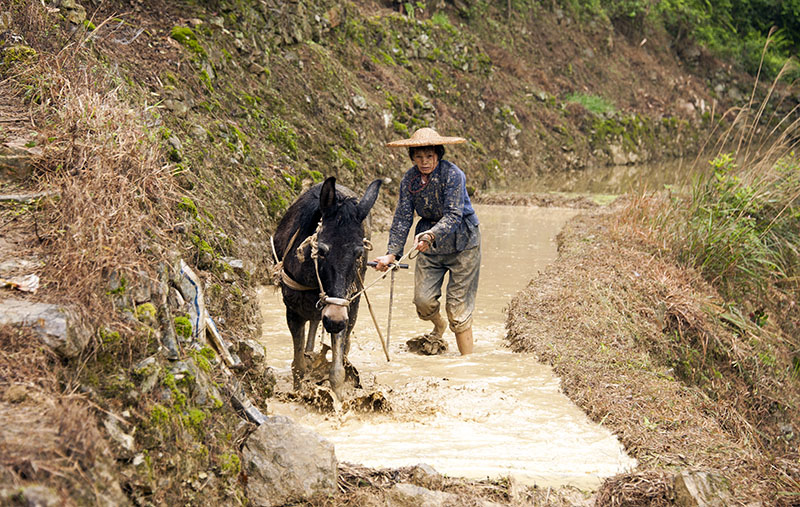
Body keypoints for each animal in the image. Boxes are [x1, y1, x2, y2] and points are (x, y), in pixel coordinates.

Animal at [272, 177, 384, 402]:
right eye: (322, 250)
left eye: (359, 253)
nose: (334, 320)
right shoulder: (293, 311)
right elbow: (297, 366)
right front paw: (299, 394)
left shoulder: (346, 307)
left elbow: (337, 371)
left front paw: (339, 401)